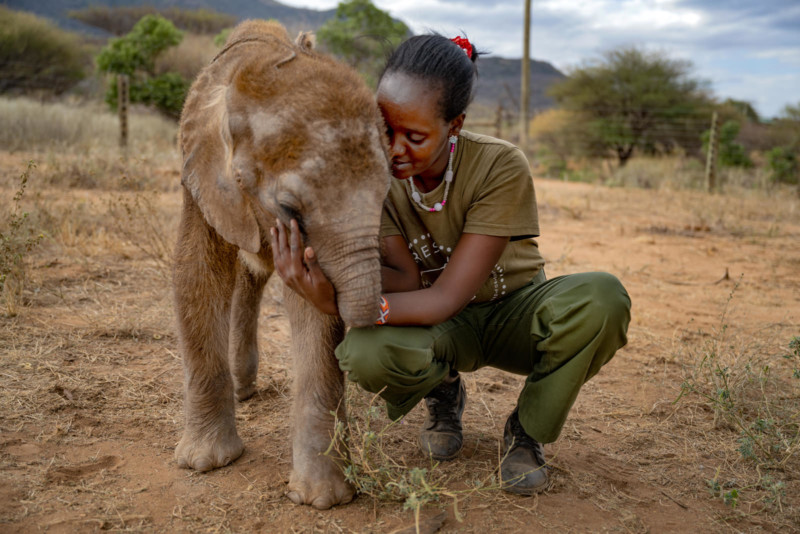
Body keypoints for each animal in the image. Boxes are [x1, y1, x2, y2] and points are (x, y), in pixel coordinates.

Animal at [173, 19, 390, 510]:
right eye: (290, 208)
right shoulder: (200, 176)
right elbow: (197, 274)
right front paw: (204, 464)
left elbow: (313, 312)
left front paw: (321, 499)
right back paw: (242, 393)